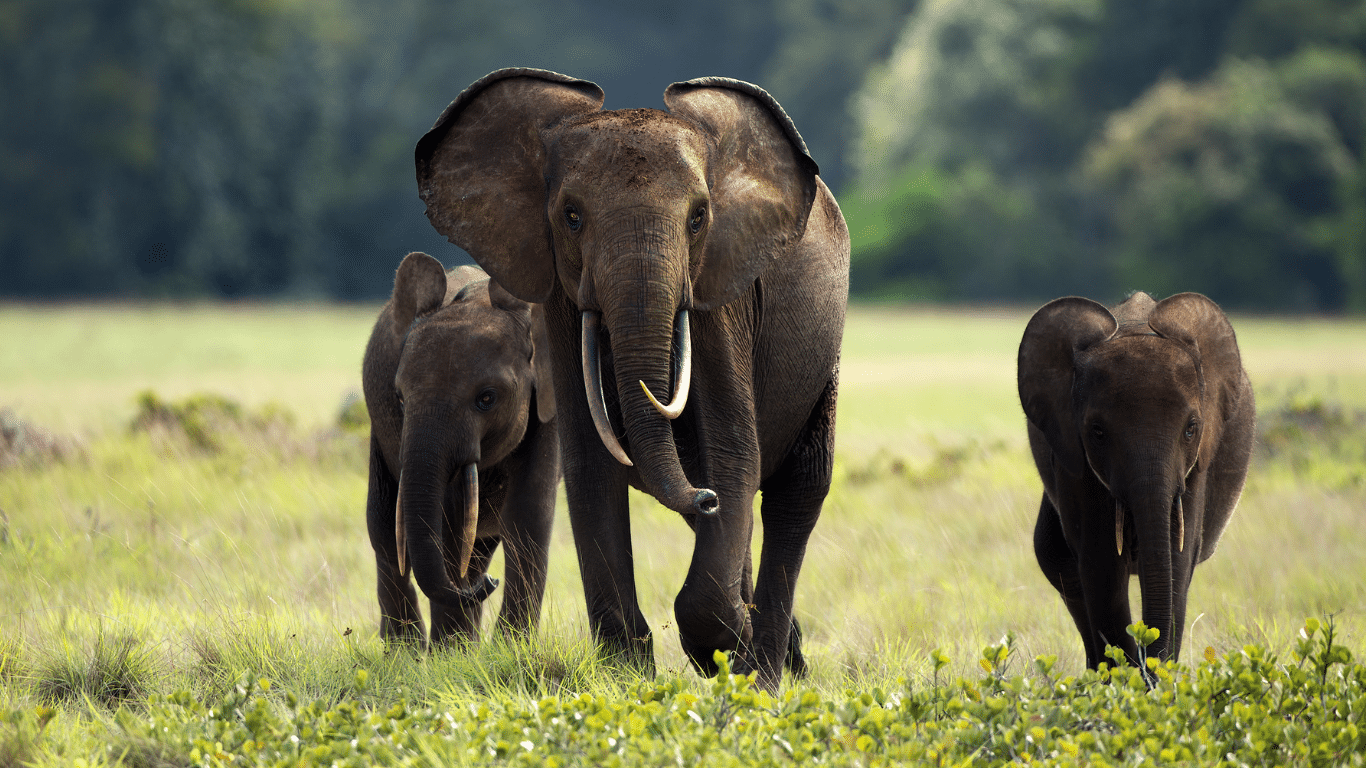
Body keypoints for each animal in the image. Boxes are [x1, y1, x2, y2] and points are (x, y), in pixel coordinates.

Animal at [362, 252, 560, 646]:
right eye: (400, 399)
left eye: (487, 398)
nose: (490, 584)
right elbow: (447, 519)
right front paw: (451, 652)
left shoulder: (550, 405)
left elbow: (529, 511)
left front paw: (512, 648)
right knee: (383, 526)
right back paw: (405, 649)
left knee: (478, 543)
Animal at [414, 68, 849, 690]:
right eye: (571, 216)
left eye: (698, 217)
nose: (704, 497)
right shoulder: (559, 296)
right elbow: (591, 462)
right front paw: (627, 674)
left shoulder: (723, 293)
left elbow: (732, 451)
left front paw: (715, 651)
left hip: (823, 355)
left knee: (798, 490)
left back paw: (762, 673)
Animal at [1018, 291, 1255, 670]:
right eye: (1097, 433)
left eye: (1192, 429)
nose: (1150, 667)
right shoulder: (1076, 463)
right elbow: (1101, 565)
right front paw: (1128, 678)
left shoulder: (1196, 468)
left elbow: (1176, 561)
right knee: (1059, 565)